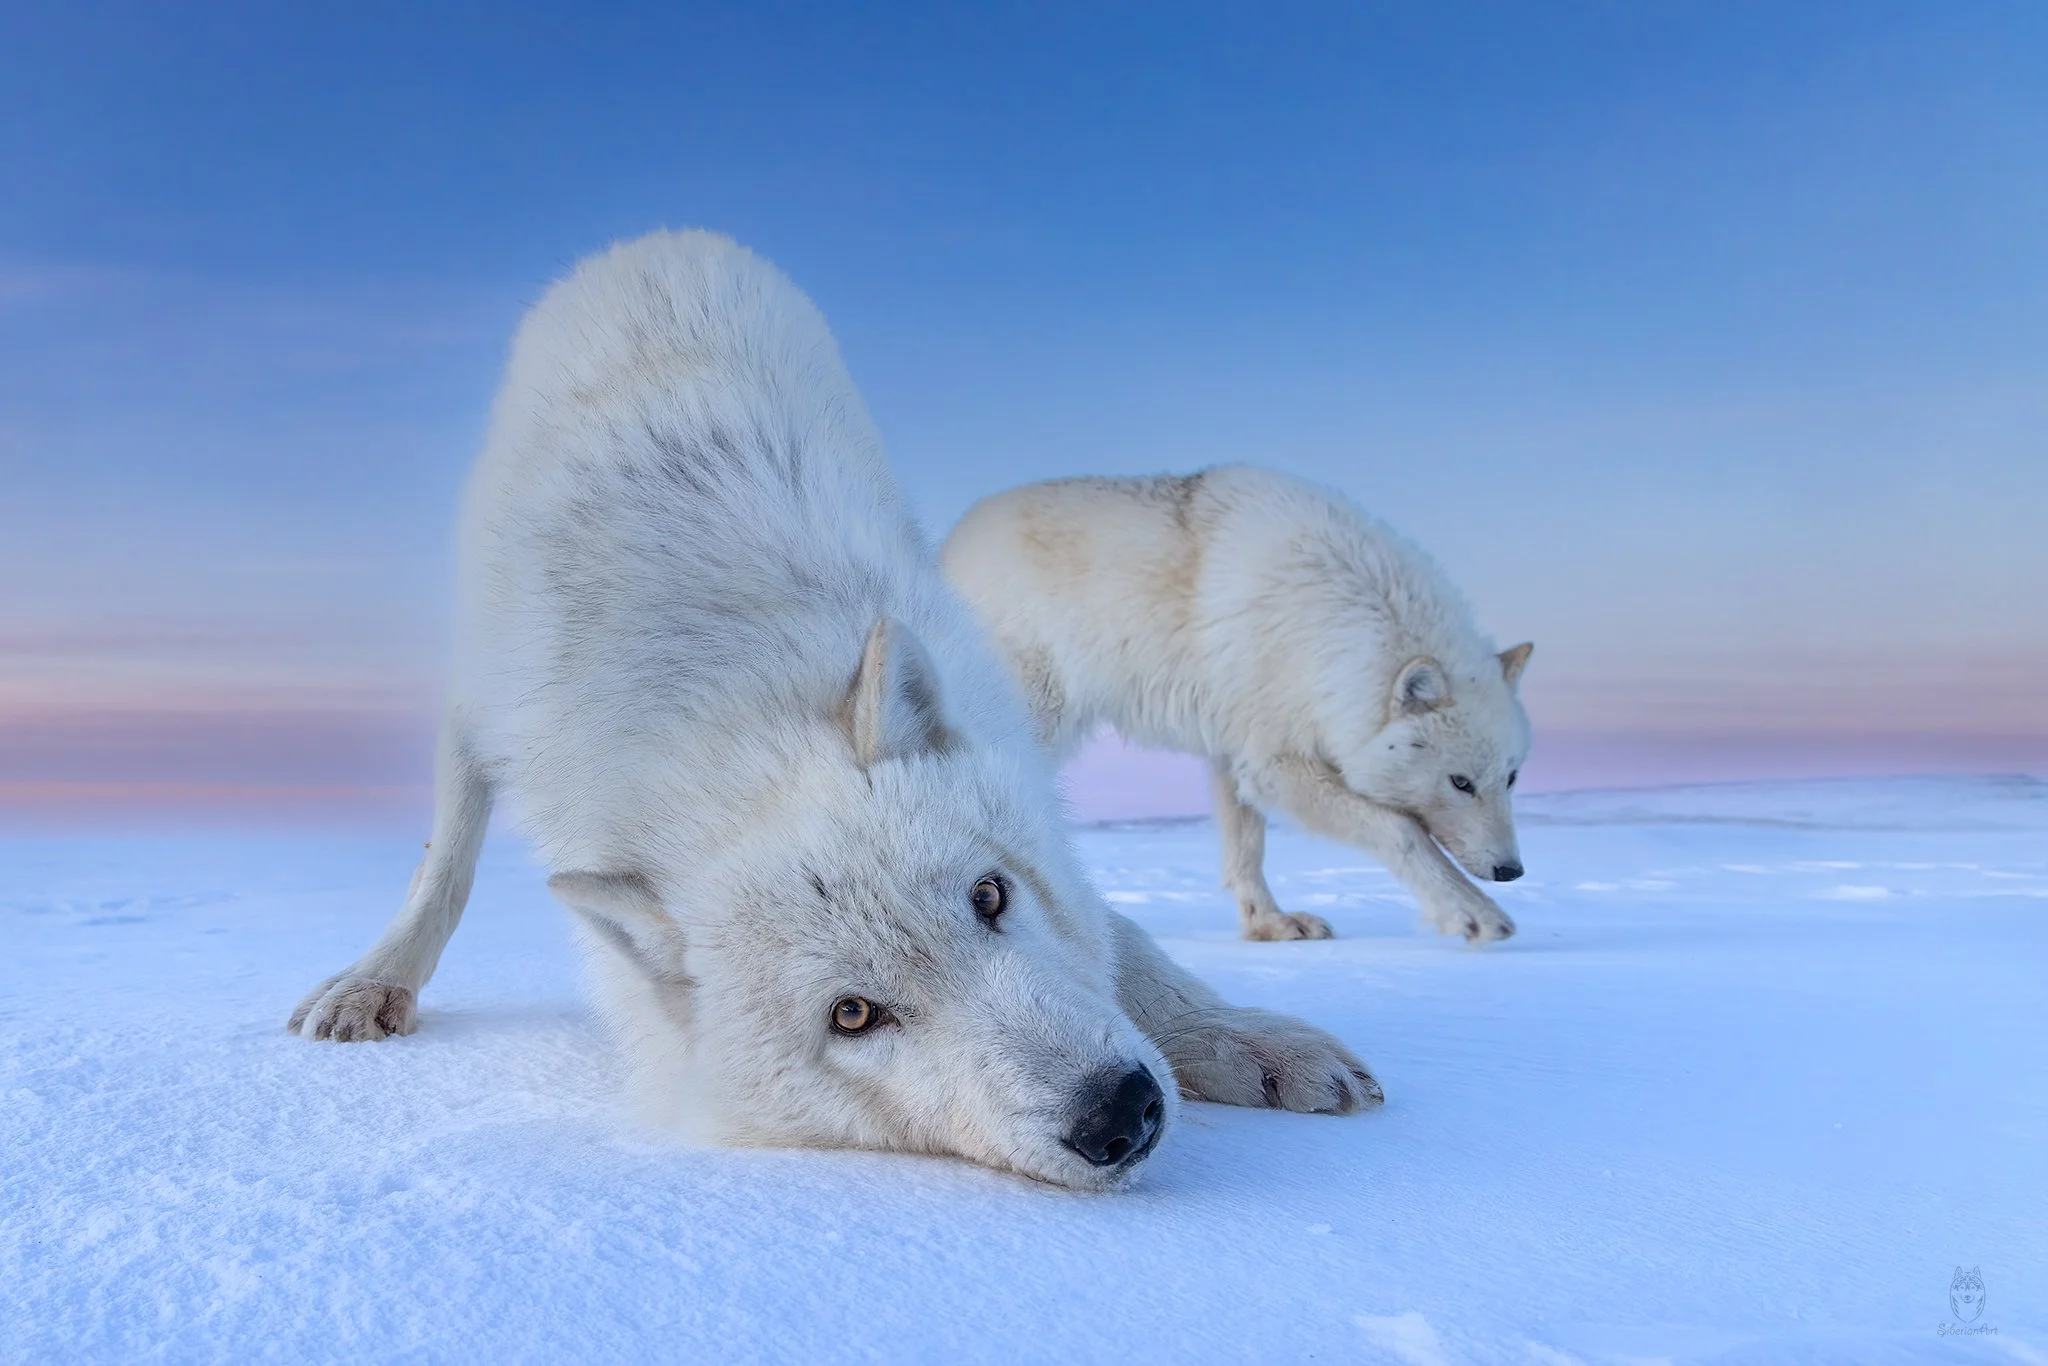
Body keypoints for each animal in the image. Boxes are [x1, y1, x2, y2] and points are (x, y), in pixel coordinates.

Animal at [287, 232, 1379, 1190]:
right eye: (852, 1016)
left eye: (990, 897)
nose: (1121, 1111)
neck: (721, 714)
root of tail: (653, 241)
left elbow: (1126, 946)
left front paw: (1248, 1040)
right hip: (476, 704)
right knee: (444, 862)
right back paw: (374, 979)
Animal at [940, 467, 1533, 944]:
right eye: (1460, 783)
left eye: (1511, 779)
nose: (1511, 871)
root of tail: (948, 545)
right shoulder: (1277, 765)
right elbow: (1401, 832)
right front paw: (1474, 914)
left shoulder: (1236, 758)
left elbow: (1247, 851)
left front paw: (1269, 925)